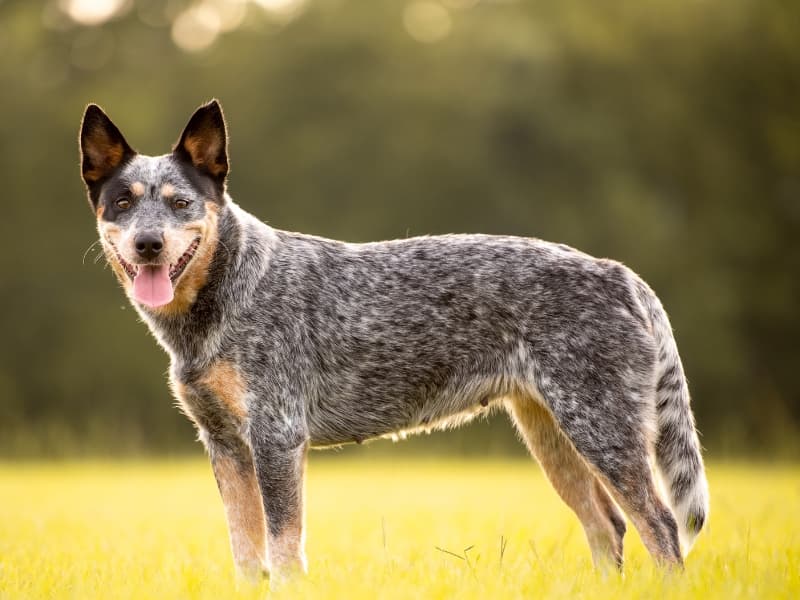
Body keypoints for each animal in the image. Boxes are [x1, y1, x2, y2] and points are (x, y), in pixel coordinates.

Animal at [79, 101, 708, 584]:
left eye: (181, 202)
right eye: (123, 203)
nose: (148, 243)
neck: (229, 293)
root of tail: (621, 274)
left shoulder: (277, 437)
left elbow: (283, 550)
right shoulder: (224, 445)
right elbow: (245, 553)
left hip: (601, 432)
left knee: (660, 527)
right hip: (553, 437)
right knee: (609, 527)